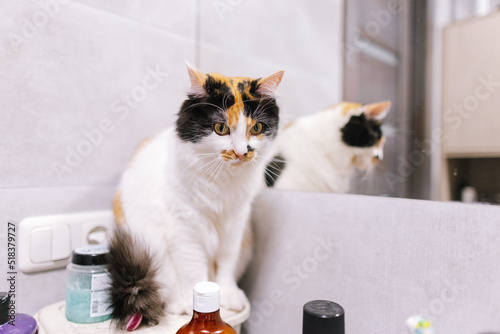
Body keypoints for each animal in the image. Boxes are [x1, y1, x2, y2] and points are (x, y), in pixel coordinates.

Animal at [107, 64, 284, 330]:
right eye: (221, 128)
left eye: (257, 128)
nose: (242, 153)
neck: (223, 182)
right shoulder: (185, 229)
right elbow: (193, 271)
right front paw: (197, 303)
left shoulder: (235, 225)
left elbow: (227, 263)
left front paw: (228, 295)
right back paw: (177, 303)